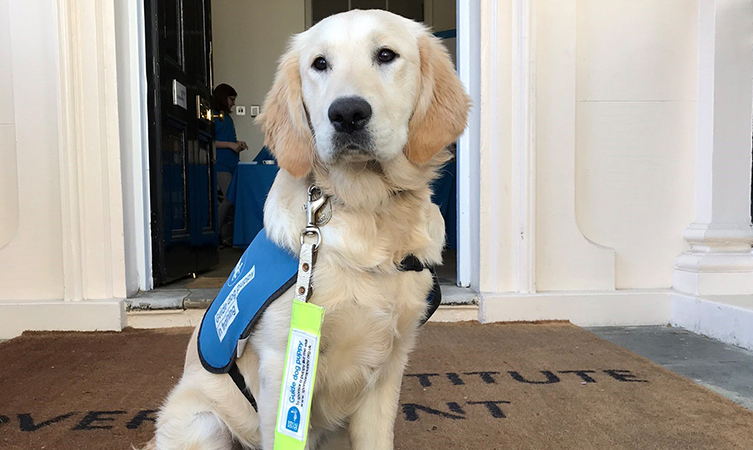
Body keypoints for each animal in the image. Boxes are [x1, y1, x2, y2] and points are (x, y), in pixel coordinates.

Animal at [145, 7, 468, 450]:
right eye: (319, 63)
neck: (366, 209)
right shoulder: (280, 364)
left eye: (386, 55)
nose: (347, 114)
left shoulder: (390, 366)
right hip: (203, 423)